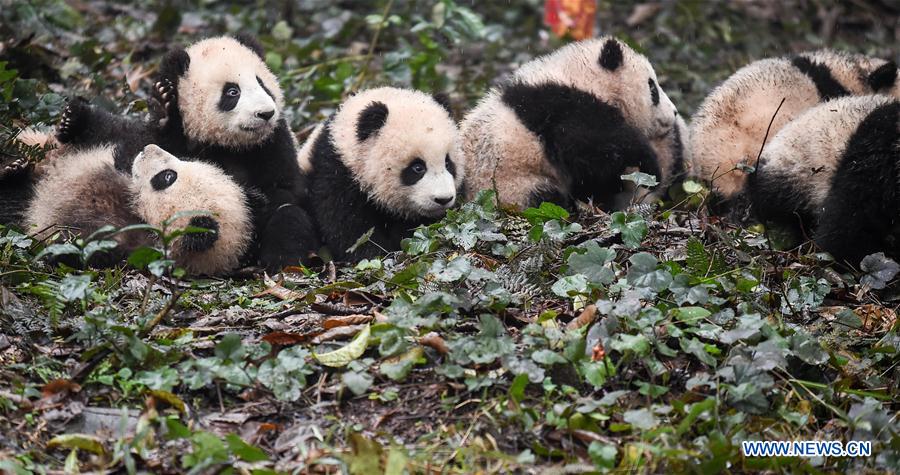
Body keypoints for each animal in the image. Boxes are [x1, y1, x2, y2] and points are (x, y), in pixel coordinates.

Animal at [53, 34, 317, 271]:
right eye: (232, 92)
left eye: (263, 84)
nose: (266, 113)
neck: (228, 144)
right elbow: (136, 141)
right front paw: (162, 106)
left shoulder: (273, 143)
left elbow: (285, 190)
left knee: (289, 216)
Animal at [301, 87, 463, 261]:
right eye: (418, 168)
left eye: (448, 163)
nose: (443, 199)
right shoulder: (335, 171)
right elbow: (349, 227)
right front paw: (376, 255)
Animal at [460, 37, 679, 210]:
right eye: (653, 88)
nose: (675, 113)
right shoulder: (563, 109)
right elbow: (594, 152)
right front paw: (651, 169)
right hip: (507, 185)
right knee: (543, 199)